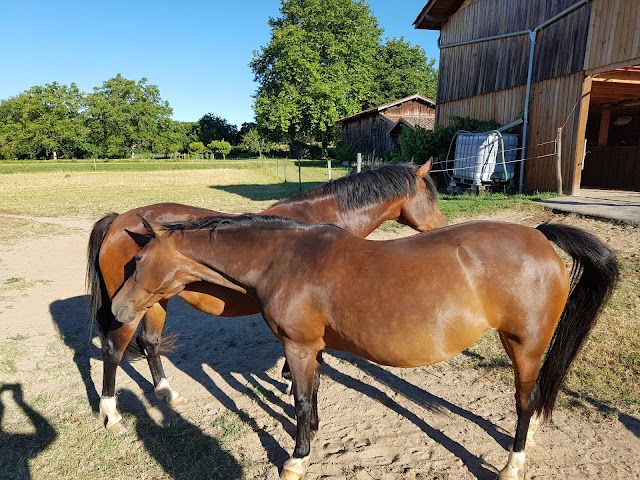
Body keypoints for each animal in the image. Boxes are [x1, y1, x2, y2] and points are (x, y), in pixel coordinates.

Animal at [85, 163, 448, 434]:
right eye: (430, 197)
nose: (442, 228)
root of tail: (118, 221)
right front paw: (291, 384)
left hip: (156, 300)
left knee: (150, 342)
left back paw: (167, 393)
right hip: (132, 309)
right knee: (113, 350)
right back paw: (112, 415)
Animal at [111, 216, 620, 480]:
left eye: (138, 262)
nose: (116, 310)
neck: (284, 258)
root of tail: (539, 236)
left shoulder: (297, 345)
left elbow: (300, 401)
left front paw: (297, 458)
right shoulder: (311, 346)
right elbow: (312, 395)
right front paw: (312, 437)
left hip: (525, 346)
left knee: (524, 400)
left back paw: (512, 463)